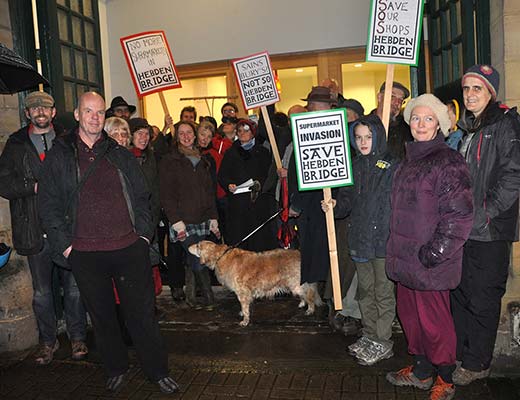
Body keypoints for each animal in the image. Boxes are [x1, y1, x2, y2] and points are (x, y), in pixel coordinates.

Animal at [189, 241, 320, 324]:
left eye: (198, 245)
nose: (188, 247)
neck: (220, 256)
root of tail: (299, 254)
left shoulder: (242, 292)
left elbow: (245, 307)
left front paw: (245, 320)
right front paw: (243, 314)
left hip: (295, 283)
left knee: (309, 294)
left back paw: (310, 309)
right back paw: (302, 303)